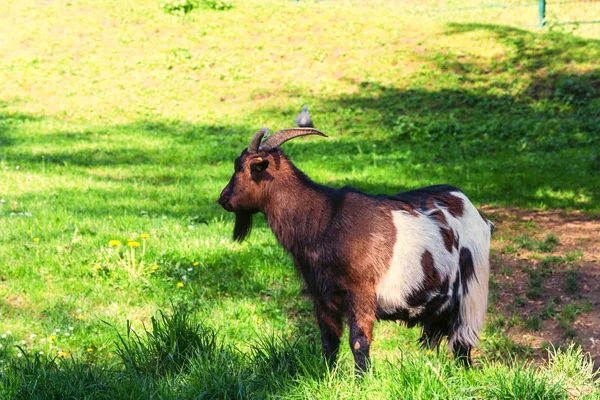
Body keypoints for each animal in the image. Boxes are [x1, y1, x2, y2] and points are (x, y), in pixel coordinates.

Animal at [218, 127, 494, 372]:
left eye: (241, 167)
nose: (222, 199)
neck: (323, 220)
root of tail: (474, 210)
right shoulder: (322, 295)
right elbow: (329, 342)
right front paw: (328, 377)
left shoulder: (361, 291)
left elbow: (359, 341)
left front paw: (362, 381)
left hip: (472, 291)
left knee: (463, 340)